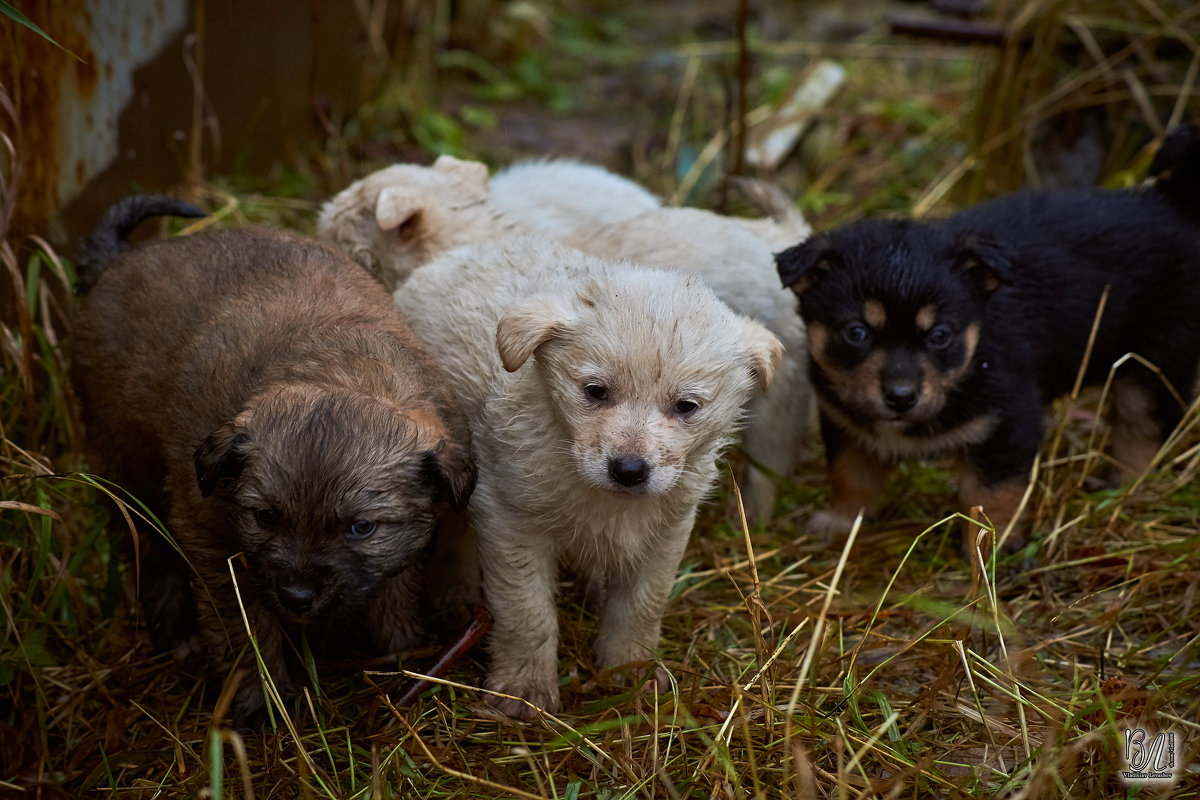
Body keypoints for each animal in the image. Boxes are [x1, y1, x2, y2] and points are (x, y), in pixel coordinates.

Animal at [69, 196, 472, 729]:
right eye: (265, 516)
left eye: (361, 528)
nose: (297, 598)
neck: (340, 370)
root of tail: (120, 259)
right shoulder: (213, 546)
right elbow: (245, 633)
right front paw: (260, 700)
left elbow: (396, 588)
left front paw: (403, 650)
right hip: (126, 463)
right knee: (150, 552)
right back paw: (174, 629)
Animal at [398, 237, 782, 719]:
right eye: (595, 392)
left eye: (686, 406)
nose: (630, 471)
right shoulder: (510, 522)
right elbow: (527, 614)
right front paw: (523, 690)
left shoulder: (668, 531)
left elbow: (642, 605)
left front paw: (631, 670)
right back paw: (453, 592)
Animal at [772, 137, 1200, 551]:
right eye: (856, 332)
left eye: (940, 335)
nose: (900, 398)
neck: (973, 360)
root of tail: (1169, 203)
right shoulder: (843, 420)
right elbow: (850, 473)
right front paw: (841, 522)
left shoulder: (1008, 422)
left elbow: (990, 496)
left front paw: (990, 549)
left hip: (1155, 361)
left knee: (1142, 428)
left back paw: (1125, 488)